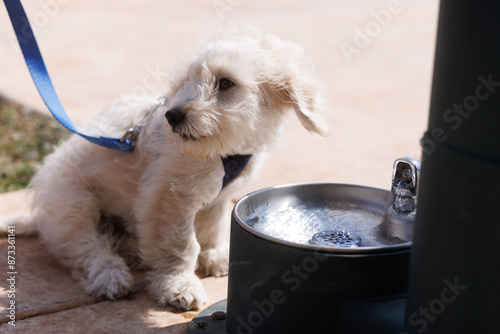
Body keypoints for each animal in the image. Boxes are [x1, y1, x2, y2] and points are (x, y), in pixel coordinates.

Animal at [2, 26, 328, 310]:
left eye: (225, 83)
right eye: (189, 80)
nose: (172, 115)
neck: (224, 152)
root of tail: (41, 215)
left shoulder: (219, 197)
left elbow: (212, 227)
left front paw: (216, 256)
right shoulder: (168, 197)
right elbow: (182, 244)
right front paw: (179, 284)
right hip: (75, 205)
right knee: (87, 249)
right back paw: (111, 275)